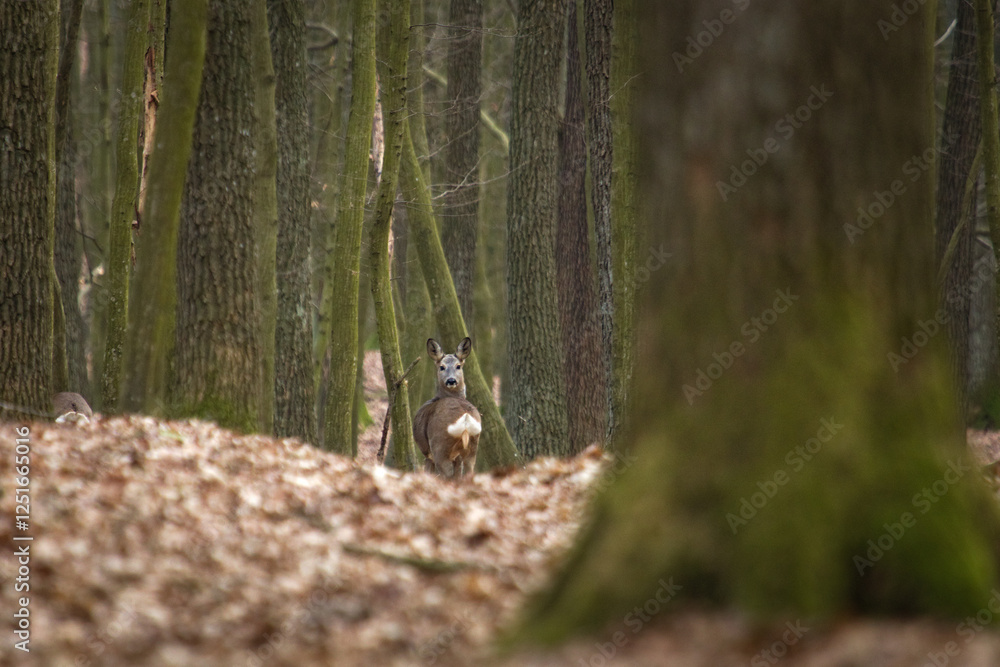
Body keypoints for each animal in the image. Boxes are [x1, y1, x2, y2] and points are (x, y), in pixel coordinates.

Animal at [412, 337, 481, 479]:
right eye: (442, 367)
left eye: (458, 366)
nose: (451, 380)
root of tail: (465, 417)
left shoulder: (428, 453)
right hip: (472, 447)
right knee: (468, 473)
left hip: (440, 445)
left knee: (446, 475)